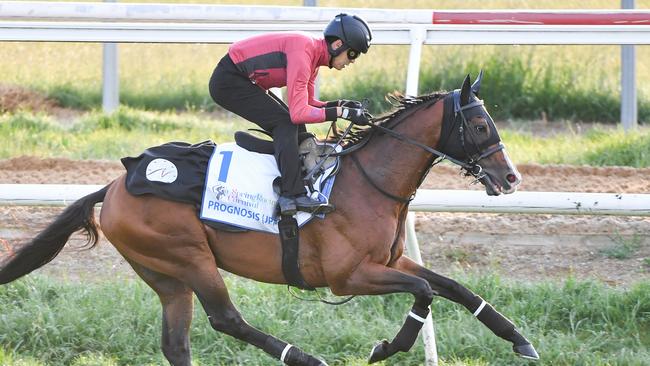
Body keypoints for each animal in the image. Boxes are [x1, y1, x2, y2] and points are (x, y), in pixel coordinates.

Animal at [0, 73, 536, 364]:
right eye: (480, 124)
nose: (510, 177)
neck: (366, 182)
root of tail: (114, 185)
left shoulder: (390, 263)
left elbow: (454, 287)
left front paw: (519, 339)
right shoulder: (348, 277)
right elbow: (425, 292)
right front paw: (385, 348)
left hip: (164, 274)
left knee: (177, 343)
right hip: (188, 255)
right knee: (226, 319)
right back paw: (302, 356)